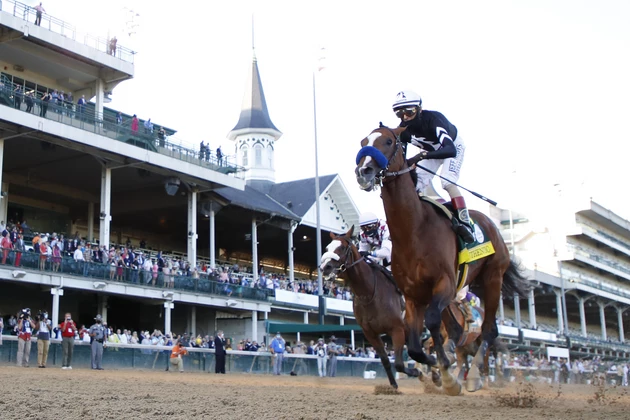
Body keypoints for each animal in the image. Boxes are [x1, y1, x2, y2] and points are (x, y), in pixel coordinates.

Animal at [320, 228, 424, 388]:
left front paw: (417, 372)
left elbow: (399, 364)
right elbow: (386, 360)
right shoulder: (370, 333)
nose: (325, 268)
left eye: (342, 247)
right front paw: (393, 386)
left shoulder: (397, 329)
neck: (369, 293)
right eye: (326, 248)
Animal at [356, 124, 532, 394]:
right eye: (364, 141)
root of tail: (491, 223)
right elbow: (415, 347)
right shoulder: (413, 296)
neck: (414, 230)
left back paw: (473, 377)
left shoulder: (445, 283)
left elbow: (433, 324)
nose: (363, 171)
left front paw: (447, 376)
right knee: (460, 332)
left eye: (387, 141)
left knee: (489, 330)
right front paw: (435, 370)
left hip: (493, 278)